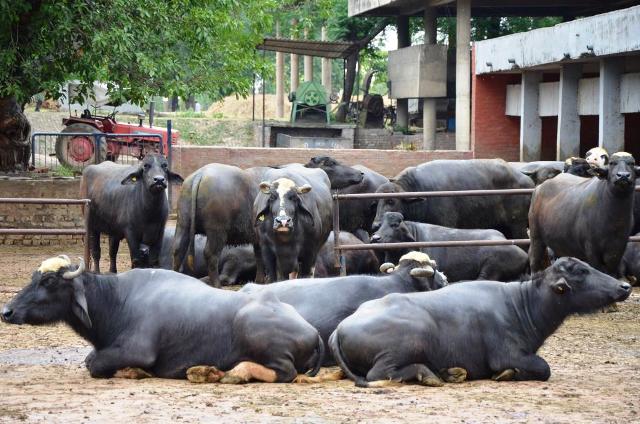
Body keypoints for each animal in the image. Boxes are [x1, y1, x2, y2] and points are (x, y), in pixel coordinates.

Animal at [1, 256, 324, 383]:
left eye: (49, 282)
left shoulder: (137, 351)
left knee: (285, 372)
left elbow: (95, 364)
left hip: (256, 334)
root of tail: (312, 331)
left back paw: (233, 372)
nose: (7, 311)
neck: (117, 301)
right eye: (34, 278)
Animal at [329, 257, 631, 387]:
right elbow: (543, 368)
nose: (625, 286)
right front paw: (508, 374)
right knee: (379, 374)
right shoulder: (507, 354)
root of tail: (340, 329)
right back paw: (430, 375)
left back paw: (450, 373)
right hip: (410, 339)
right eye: (581, 271)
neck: (521, 305)